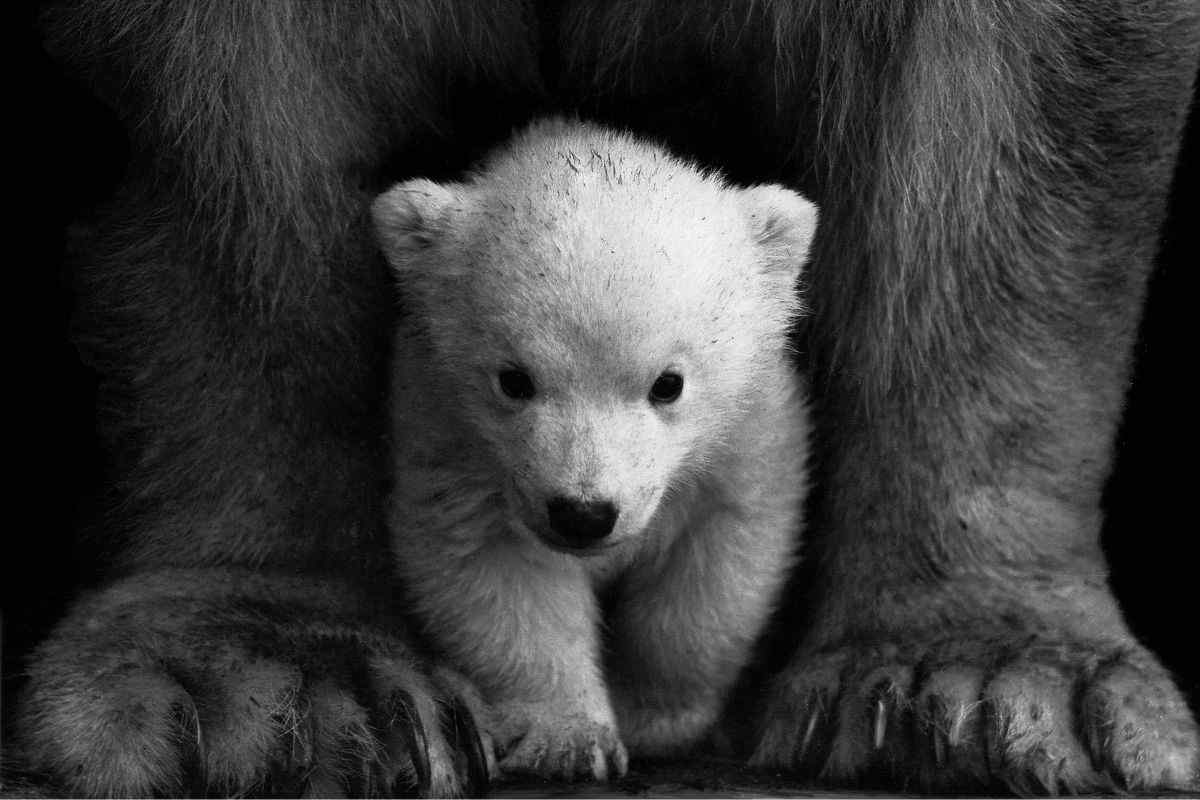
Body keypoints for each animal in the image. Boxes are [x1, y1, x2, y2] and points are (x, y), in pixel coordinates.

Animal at [372, 117, 814, 781]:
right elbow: (497, 571)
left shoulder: (748, 435)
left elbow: (714, 569)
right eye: (514, 379)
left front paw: (654, 719)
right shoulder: (450, 437)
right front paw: (569, 740)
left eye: (668, 384)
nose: (583, 514)